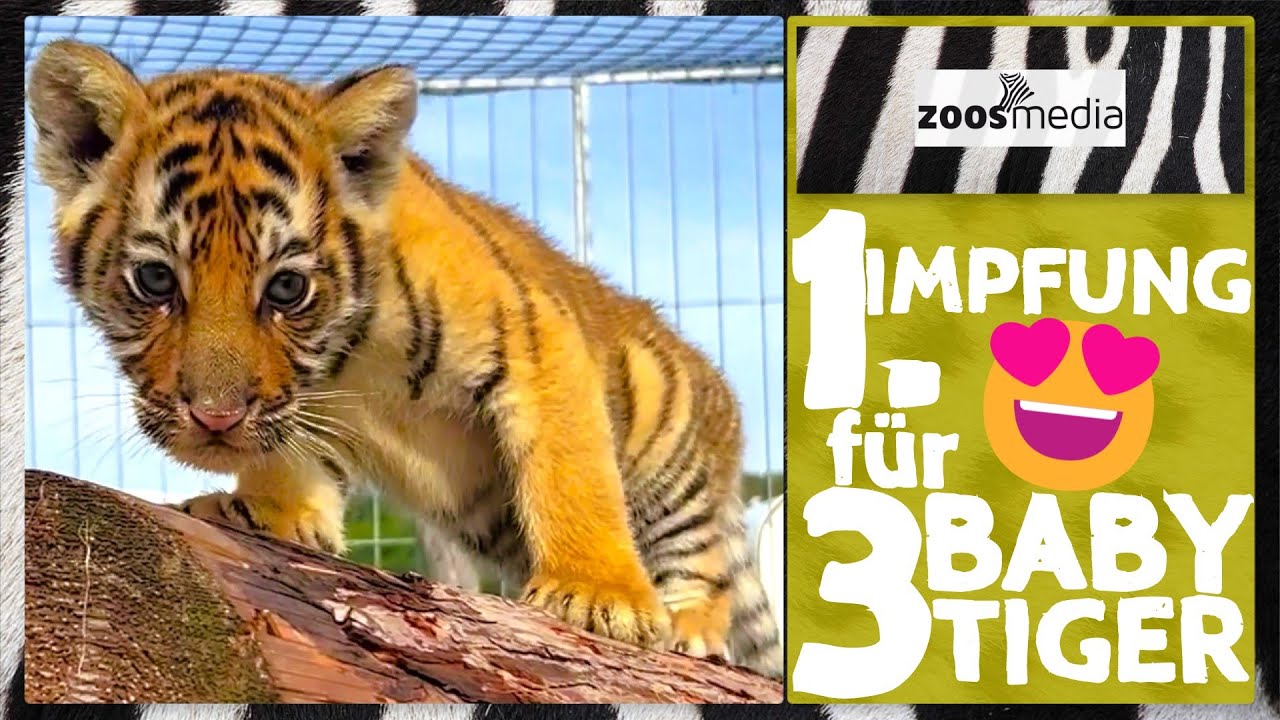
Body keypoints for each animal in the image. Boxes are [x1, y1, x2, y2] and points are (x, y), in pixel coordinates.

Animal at [26, 39, 782, 677]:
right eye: (155, 280)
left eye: (287, 287)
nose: (215, 418)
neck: (351, 352)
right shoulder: (317, 406)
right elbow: (290, 455)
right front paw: (268, 512)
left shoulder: (539, 341)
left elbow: (571, 472)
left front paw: (600, 595)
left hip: (672, 432)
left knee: (702, 560)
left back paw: (689, 625)